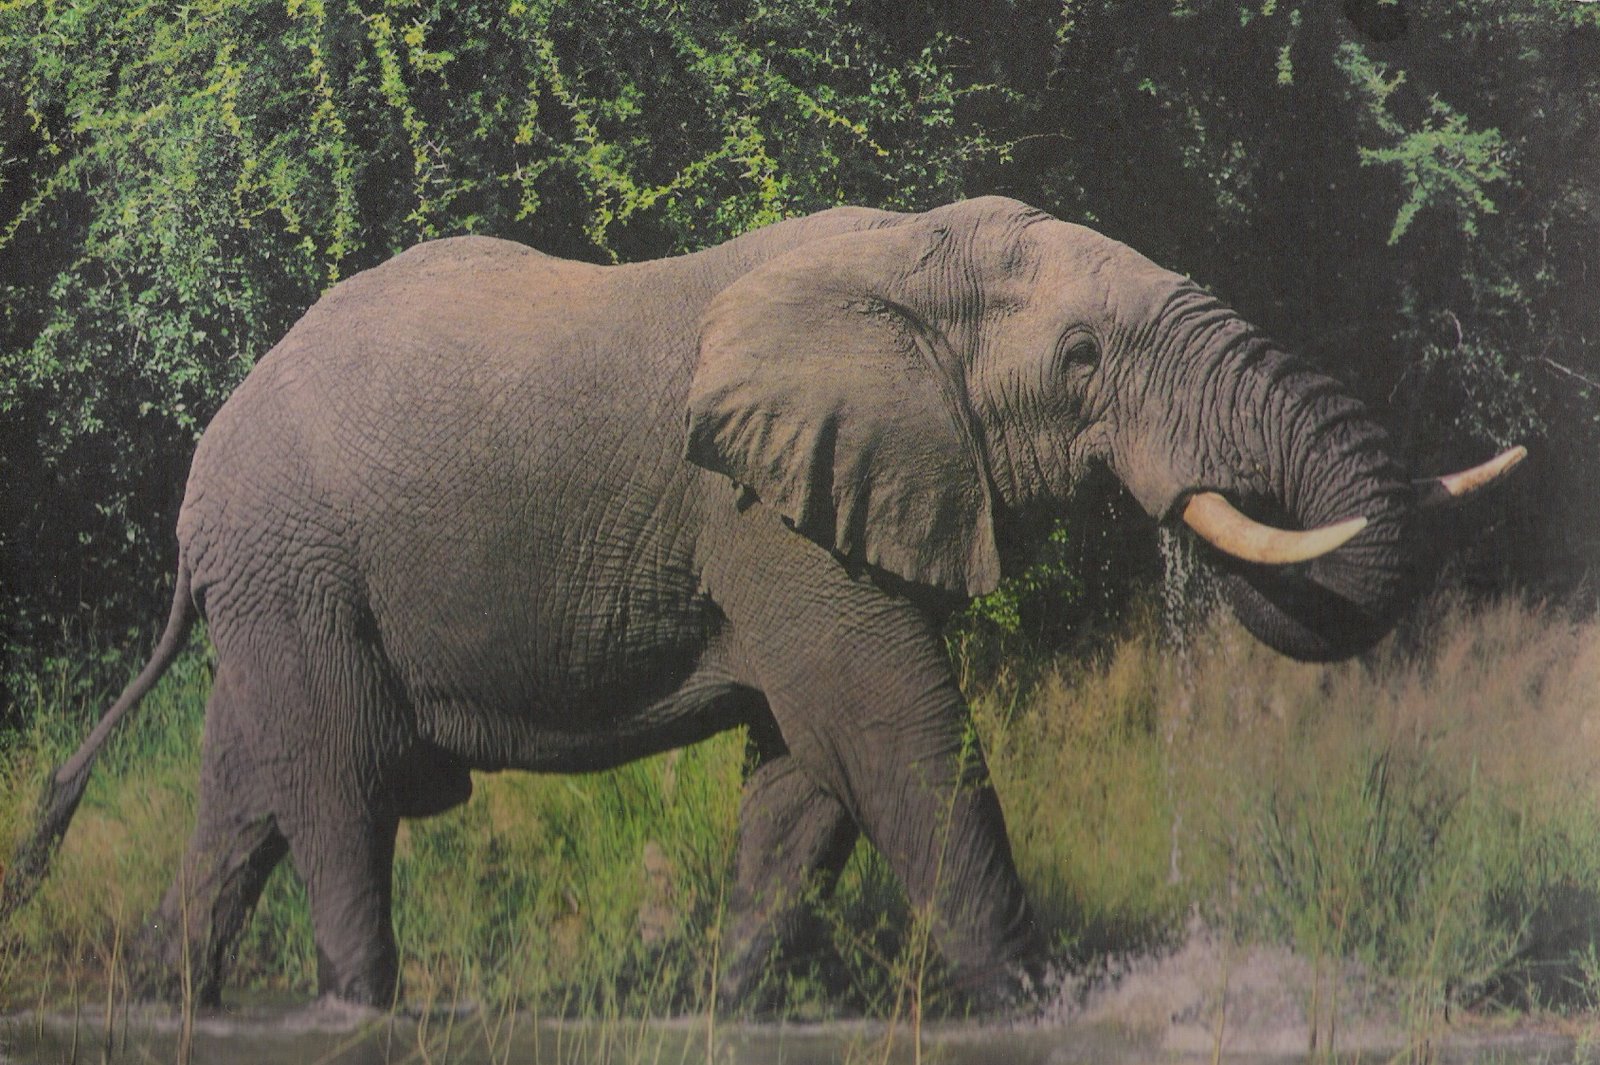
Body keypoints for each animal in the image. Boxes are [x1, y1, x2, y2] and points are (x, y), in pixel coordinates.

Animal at [1, 196, 1521, 1010]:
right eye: (1083, 358)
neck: (907, 262)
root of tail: (201, 473)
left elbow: (805, 775)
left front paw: (730, 1006)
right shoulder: (772, 515)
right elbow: (893, 732)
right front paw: (1032, 1005)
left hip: (281, 590)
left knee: (241, 792)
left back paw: (161, 1000)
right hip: (300, 568)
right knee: (333, 784)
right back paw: (357, 1006)